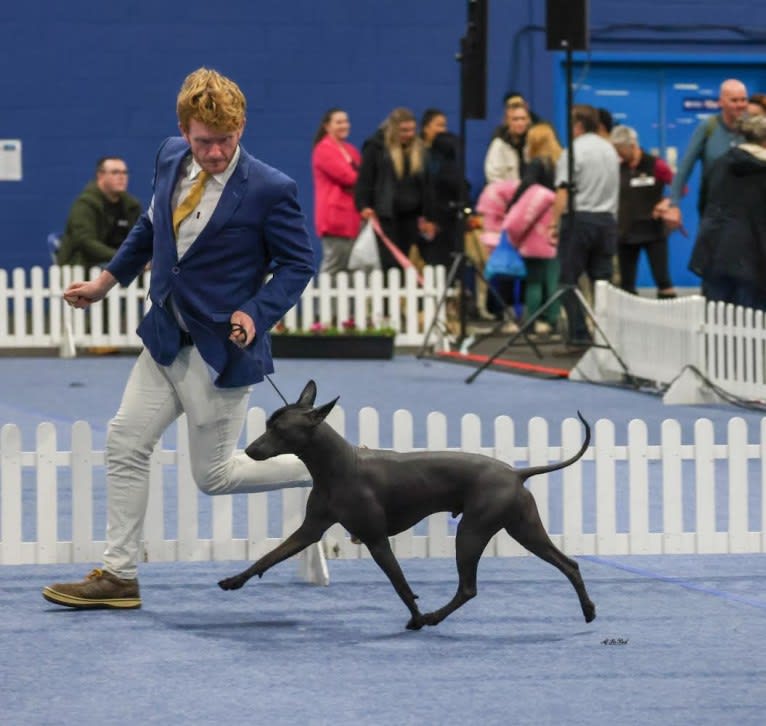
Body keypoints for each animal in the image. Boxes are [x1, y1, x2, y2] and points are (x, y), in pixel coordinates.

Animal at [219, 382, 596, 632]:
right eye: (268, 424)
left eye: (280, 430)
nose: (250, 450)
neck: (338, 466)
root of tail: (516, 472)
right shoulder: (310, 530)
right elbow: (268, 556)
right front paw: (235, 580)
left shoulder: (376, 540)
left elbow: (400, 584)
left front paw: (415, 616)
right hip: (523, 529)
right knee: (569, 564)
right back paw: (589, 610)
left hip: (471, 532)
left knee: (468, 588)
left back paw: (429, 619)